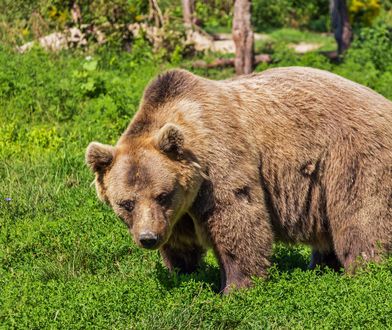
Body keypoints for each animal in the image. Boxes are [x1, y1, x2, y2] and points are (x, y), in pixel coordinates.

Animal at [86, 67, 392, 294]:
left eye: (162, 195)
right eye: (126, 203)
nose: (148, 238)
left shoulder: (220, 164)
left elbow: (238, 221)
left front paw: (235, 288)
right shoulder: (180, 210)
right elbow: (181, 243)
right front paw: (182, 274)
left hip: (352, 158)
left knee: (361, 219)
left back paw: (365, 273)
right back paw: (320, 267)